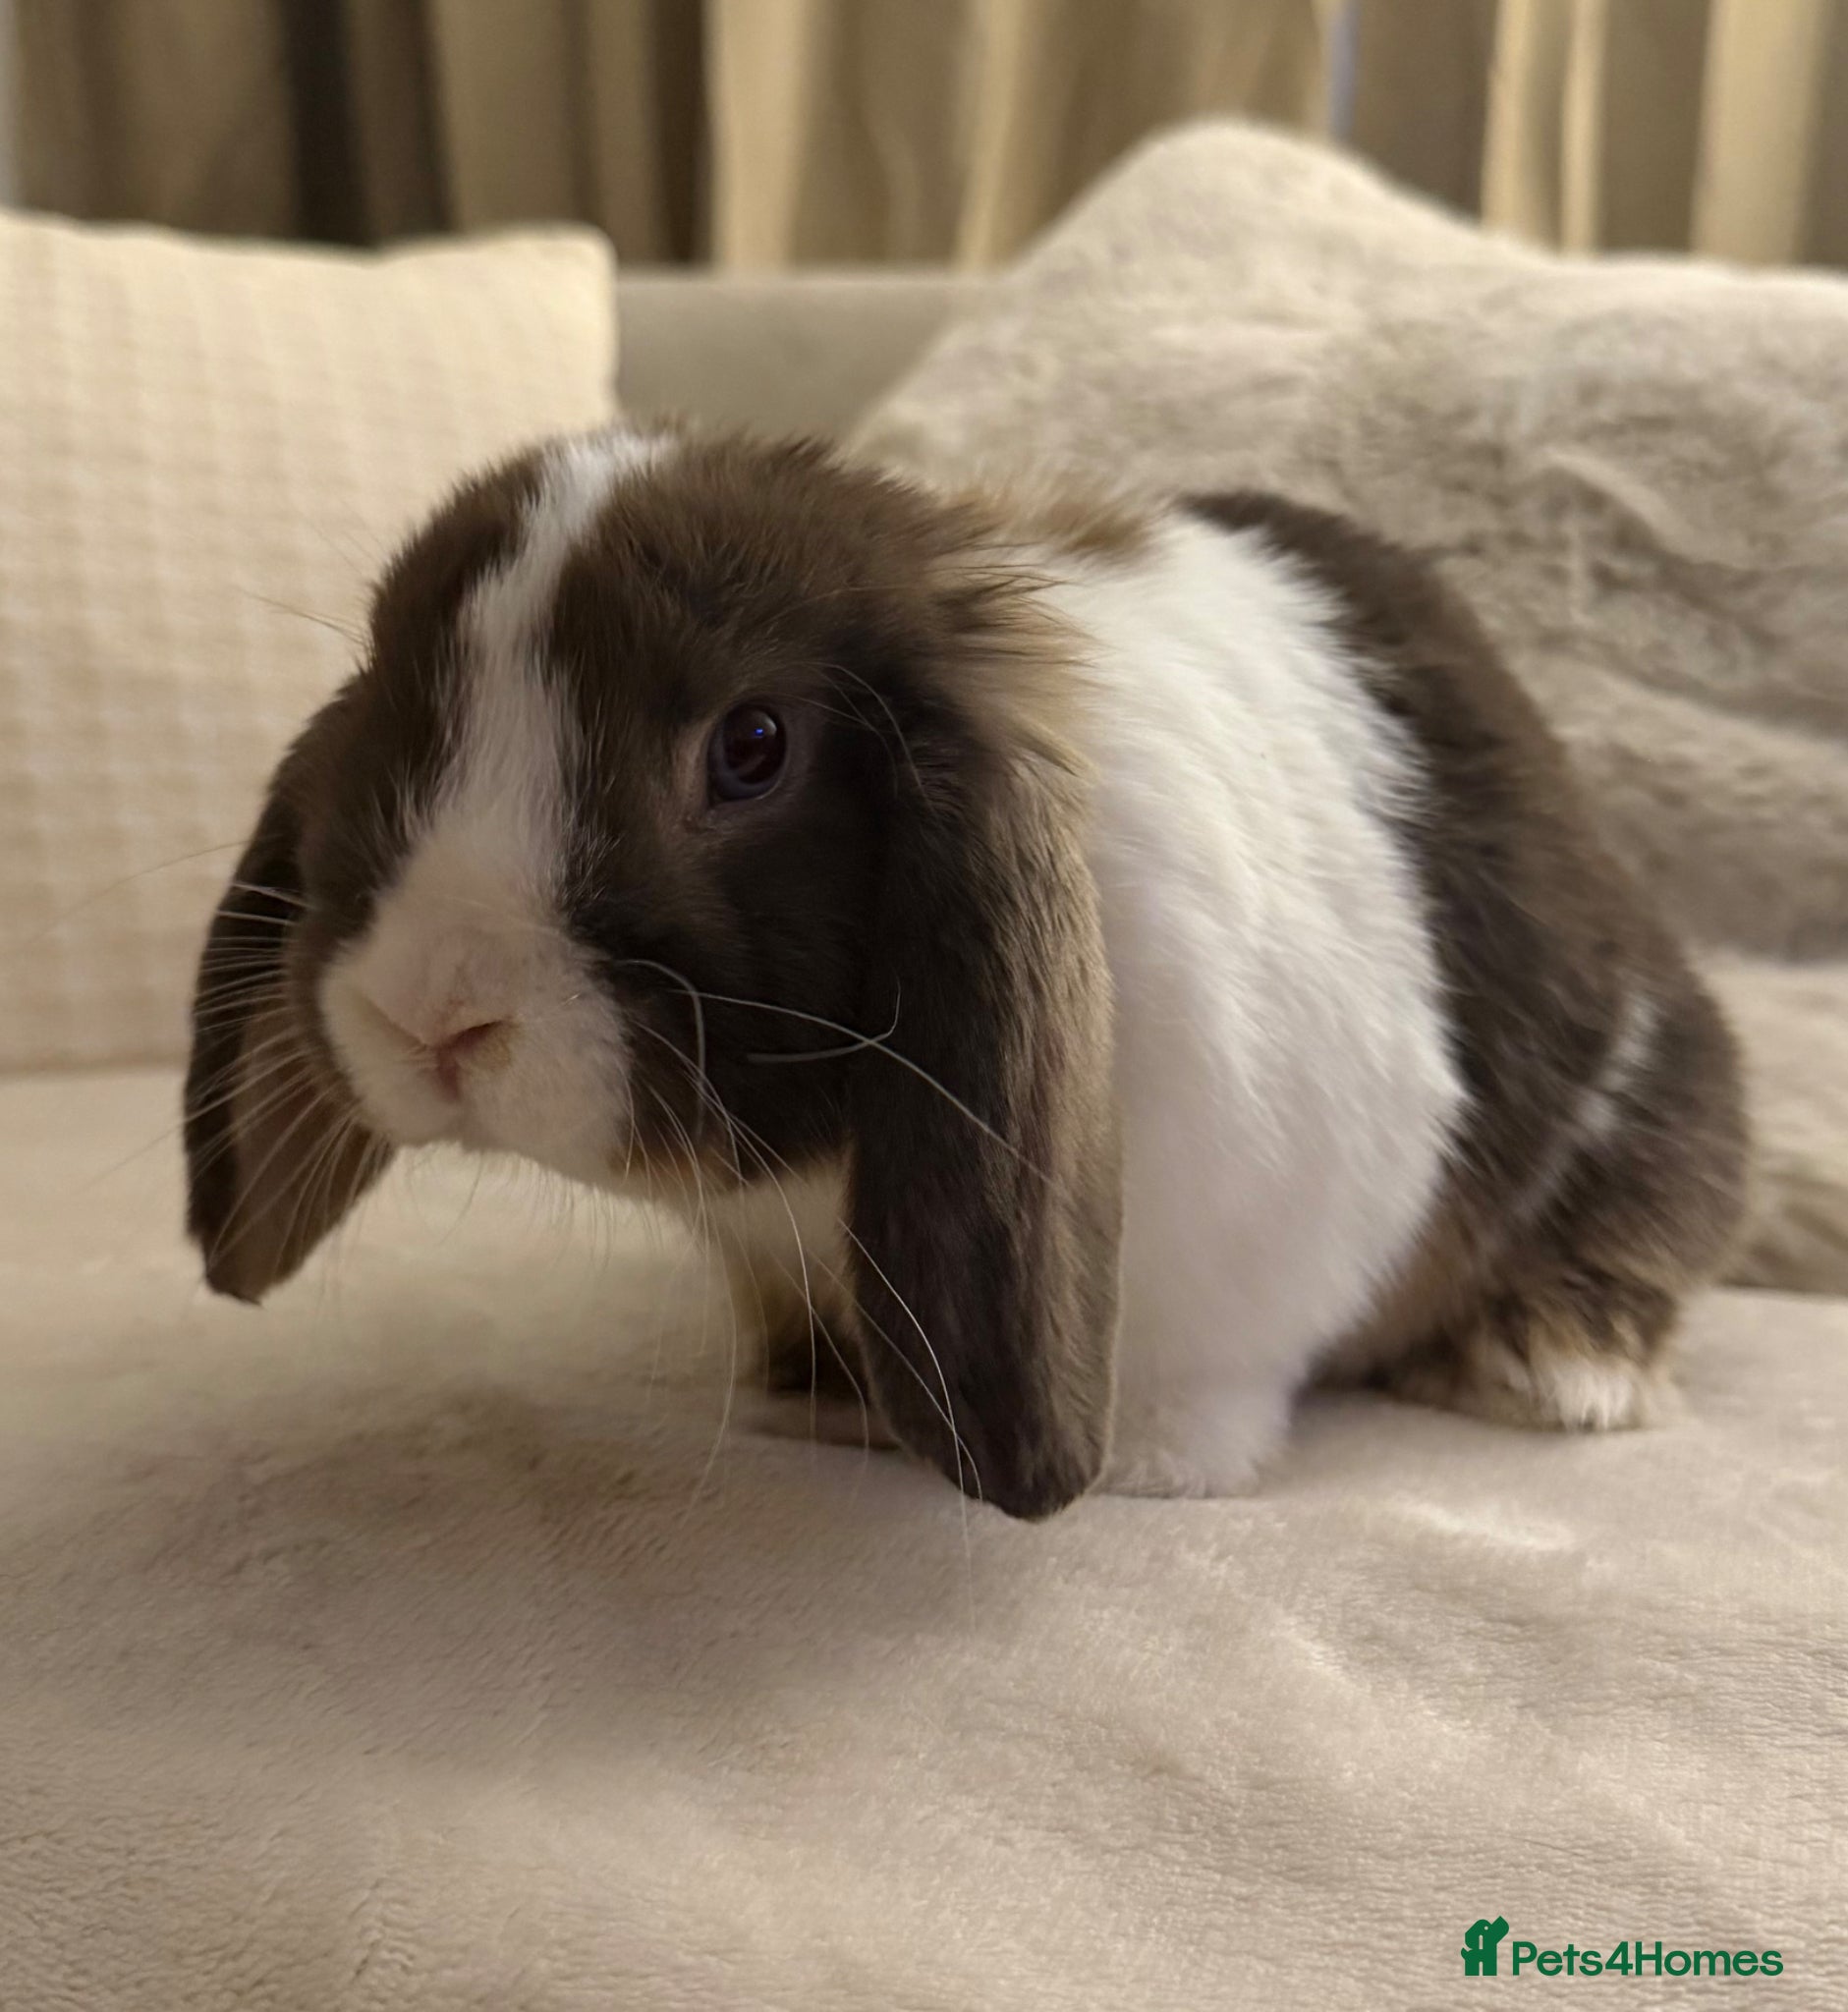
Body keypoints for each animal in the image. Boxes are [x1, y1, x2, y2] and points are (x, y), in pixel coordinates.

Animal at [183, 424, 1748, 1519]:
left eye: (751, 748)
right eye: (388, 689)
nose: (432, 1010)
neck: (814, 1168)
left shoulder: (1261, 1227)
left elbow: (1204, 1372)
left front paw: (1148, 1471)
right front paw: (816, 1403)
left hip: (1648, 1095)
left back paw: (1562, 1374)